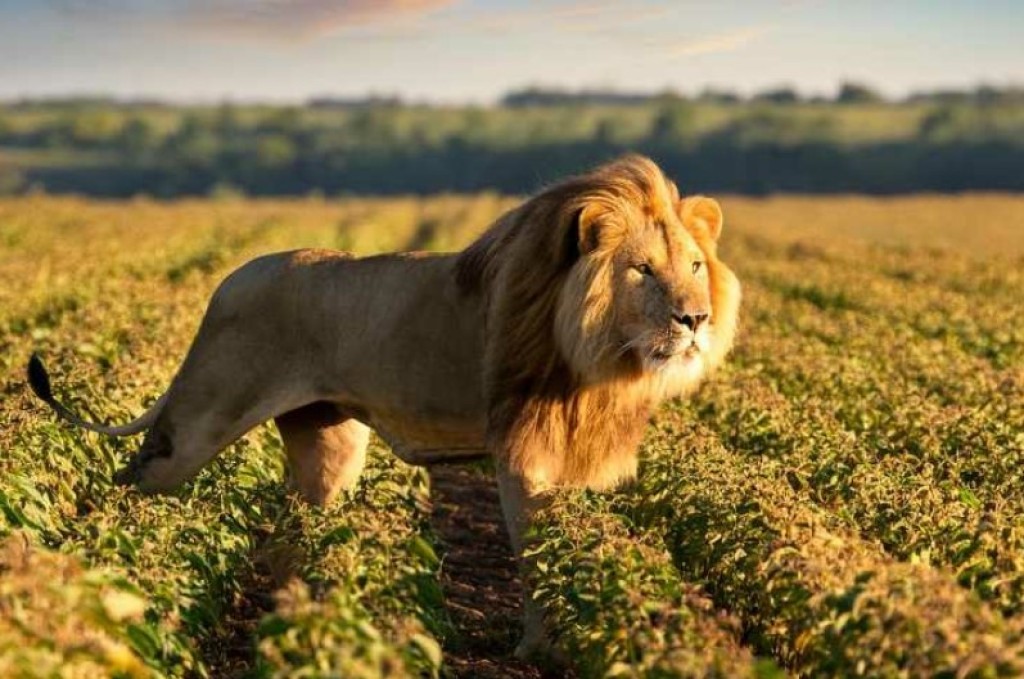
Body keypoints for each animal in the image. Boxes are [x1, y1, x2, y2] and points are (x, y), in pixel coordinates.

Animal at [28, 154, 741, 659]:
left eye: (695, 266)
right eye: (642, 269)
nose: (695, 319)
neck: (603, 357)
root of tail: (229, 280)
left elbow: (575, 548)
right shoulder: (524, 456)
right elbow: (536, 560)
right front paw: (542, 649)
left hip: (329, 443)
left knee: (294, 531)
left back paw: (296, 610)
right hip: (202, 417)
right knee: (131, 481)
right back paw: (96, 571)